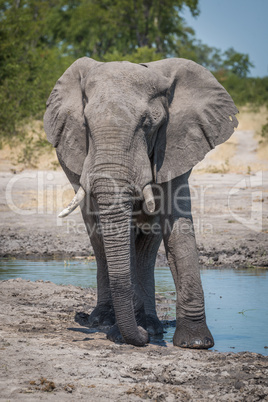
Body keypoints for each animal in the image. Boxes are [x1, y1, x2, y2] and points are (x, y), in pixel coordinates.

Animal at [44, 57, 239, 348]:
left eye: (148, 124)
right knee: (99, 237)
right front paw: (122, 333)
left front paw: (196, 343)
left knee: (147, 244)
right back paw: (105, 320)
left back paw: (151, 326)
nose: (143, 338)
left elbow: (177, 226)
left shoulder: (175, 145)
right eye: (86, 124)